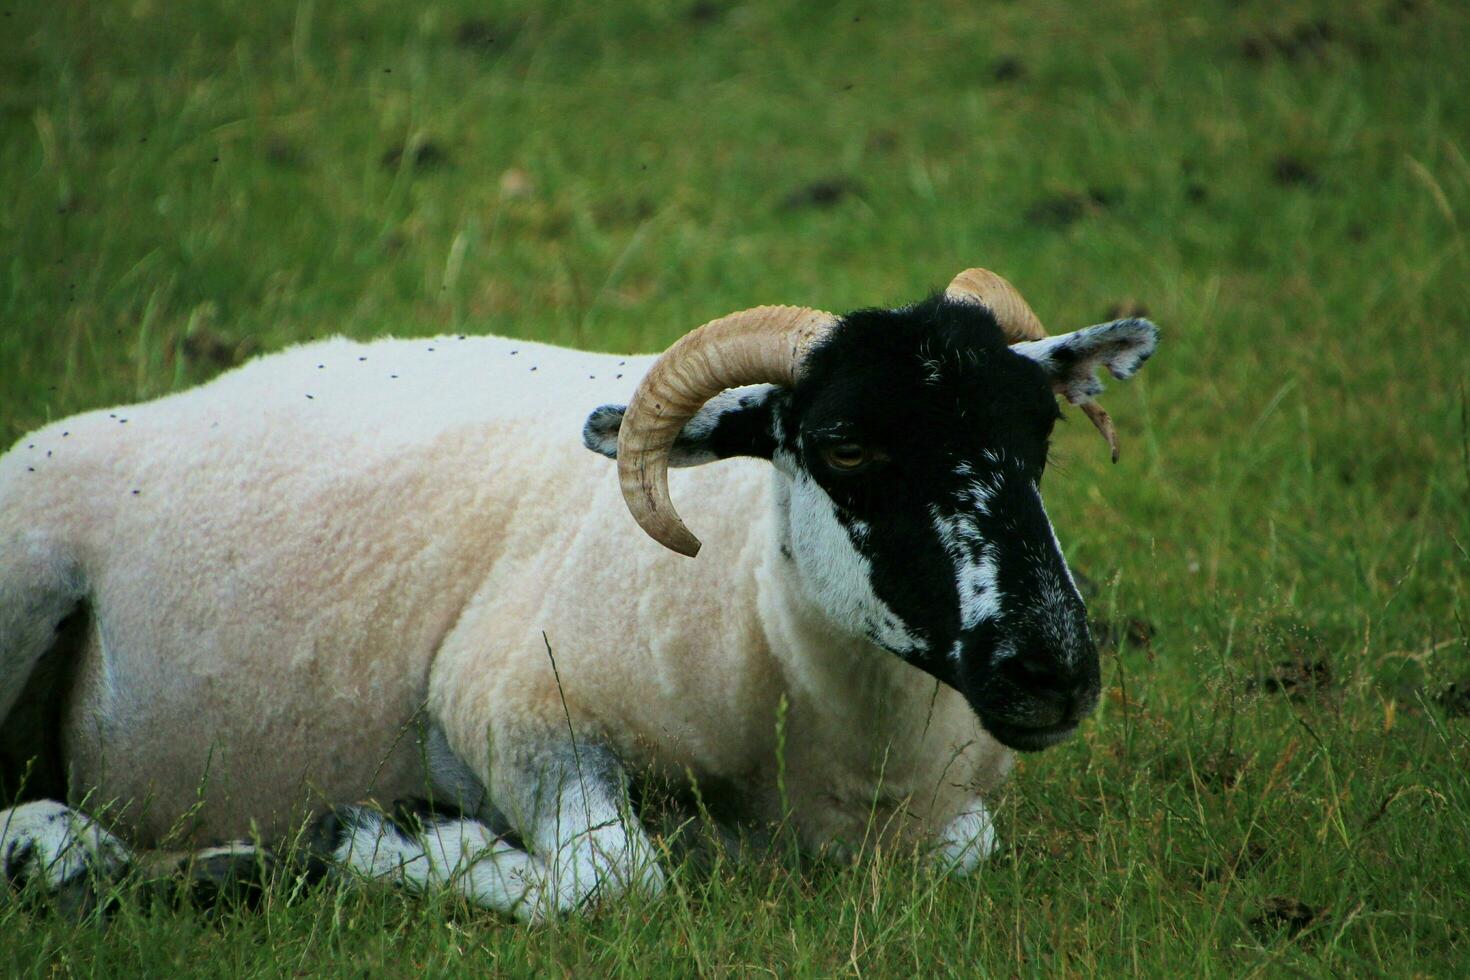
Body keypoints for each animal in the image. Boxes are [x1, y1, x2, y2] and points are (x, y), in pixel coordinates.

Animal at [2, 265, 1158, 922]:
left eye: (1040, 431)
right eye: (844, 444)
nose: (1052, 670)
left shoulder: (951, 816)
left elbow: (966, 854)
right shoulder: (512, 711)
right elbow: (617, 887)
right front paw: (397, 840)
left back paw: (211, 864)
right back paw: (65, 849)